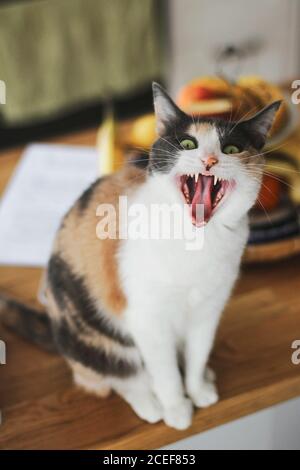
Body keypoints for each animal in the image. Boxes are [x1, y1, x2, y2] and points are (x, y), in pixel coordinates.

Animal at [0, 83, 280, 430]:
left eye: (231, 148)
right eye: (188, 144)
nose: (210, 159)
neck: (197, 243)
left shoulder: (208, 309)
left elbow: (198, 353)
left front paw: (197, 388)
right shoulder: (147, 318)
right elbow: (165, 372)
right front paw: (177, 408)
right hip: (97, 337)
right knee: (118, 376)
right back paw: (150, 402)